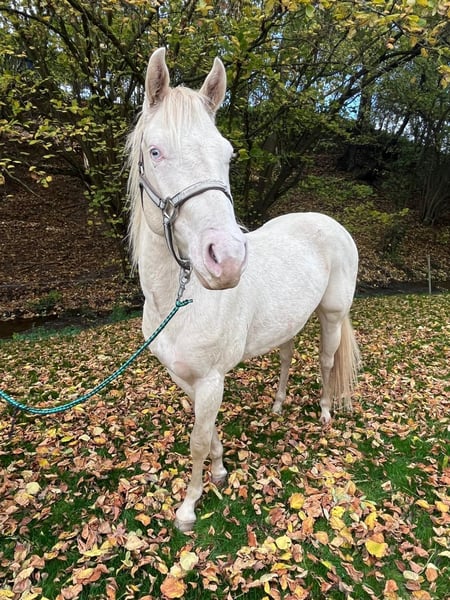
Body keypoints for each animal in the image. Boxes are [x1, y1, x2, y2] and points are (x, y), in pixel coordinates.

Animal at [126, 48, 360, 532]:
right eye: (155, 151)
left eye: (228, 155)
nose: (228, 259)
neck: (180, 301)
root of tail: (331, 223)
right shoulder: (185, 377)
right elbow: (208, 431)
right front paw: (219, 469)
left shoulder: (212, 379)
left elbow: (197, 441)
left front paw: (189, 507)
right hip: (291, 321)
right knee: (287, 355)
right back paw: (278, 405)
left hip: (331, 316)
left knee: (327, 362)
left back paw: (326, 413)